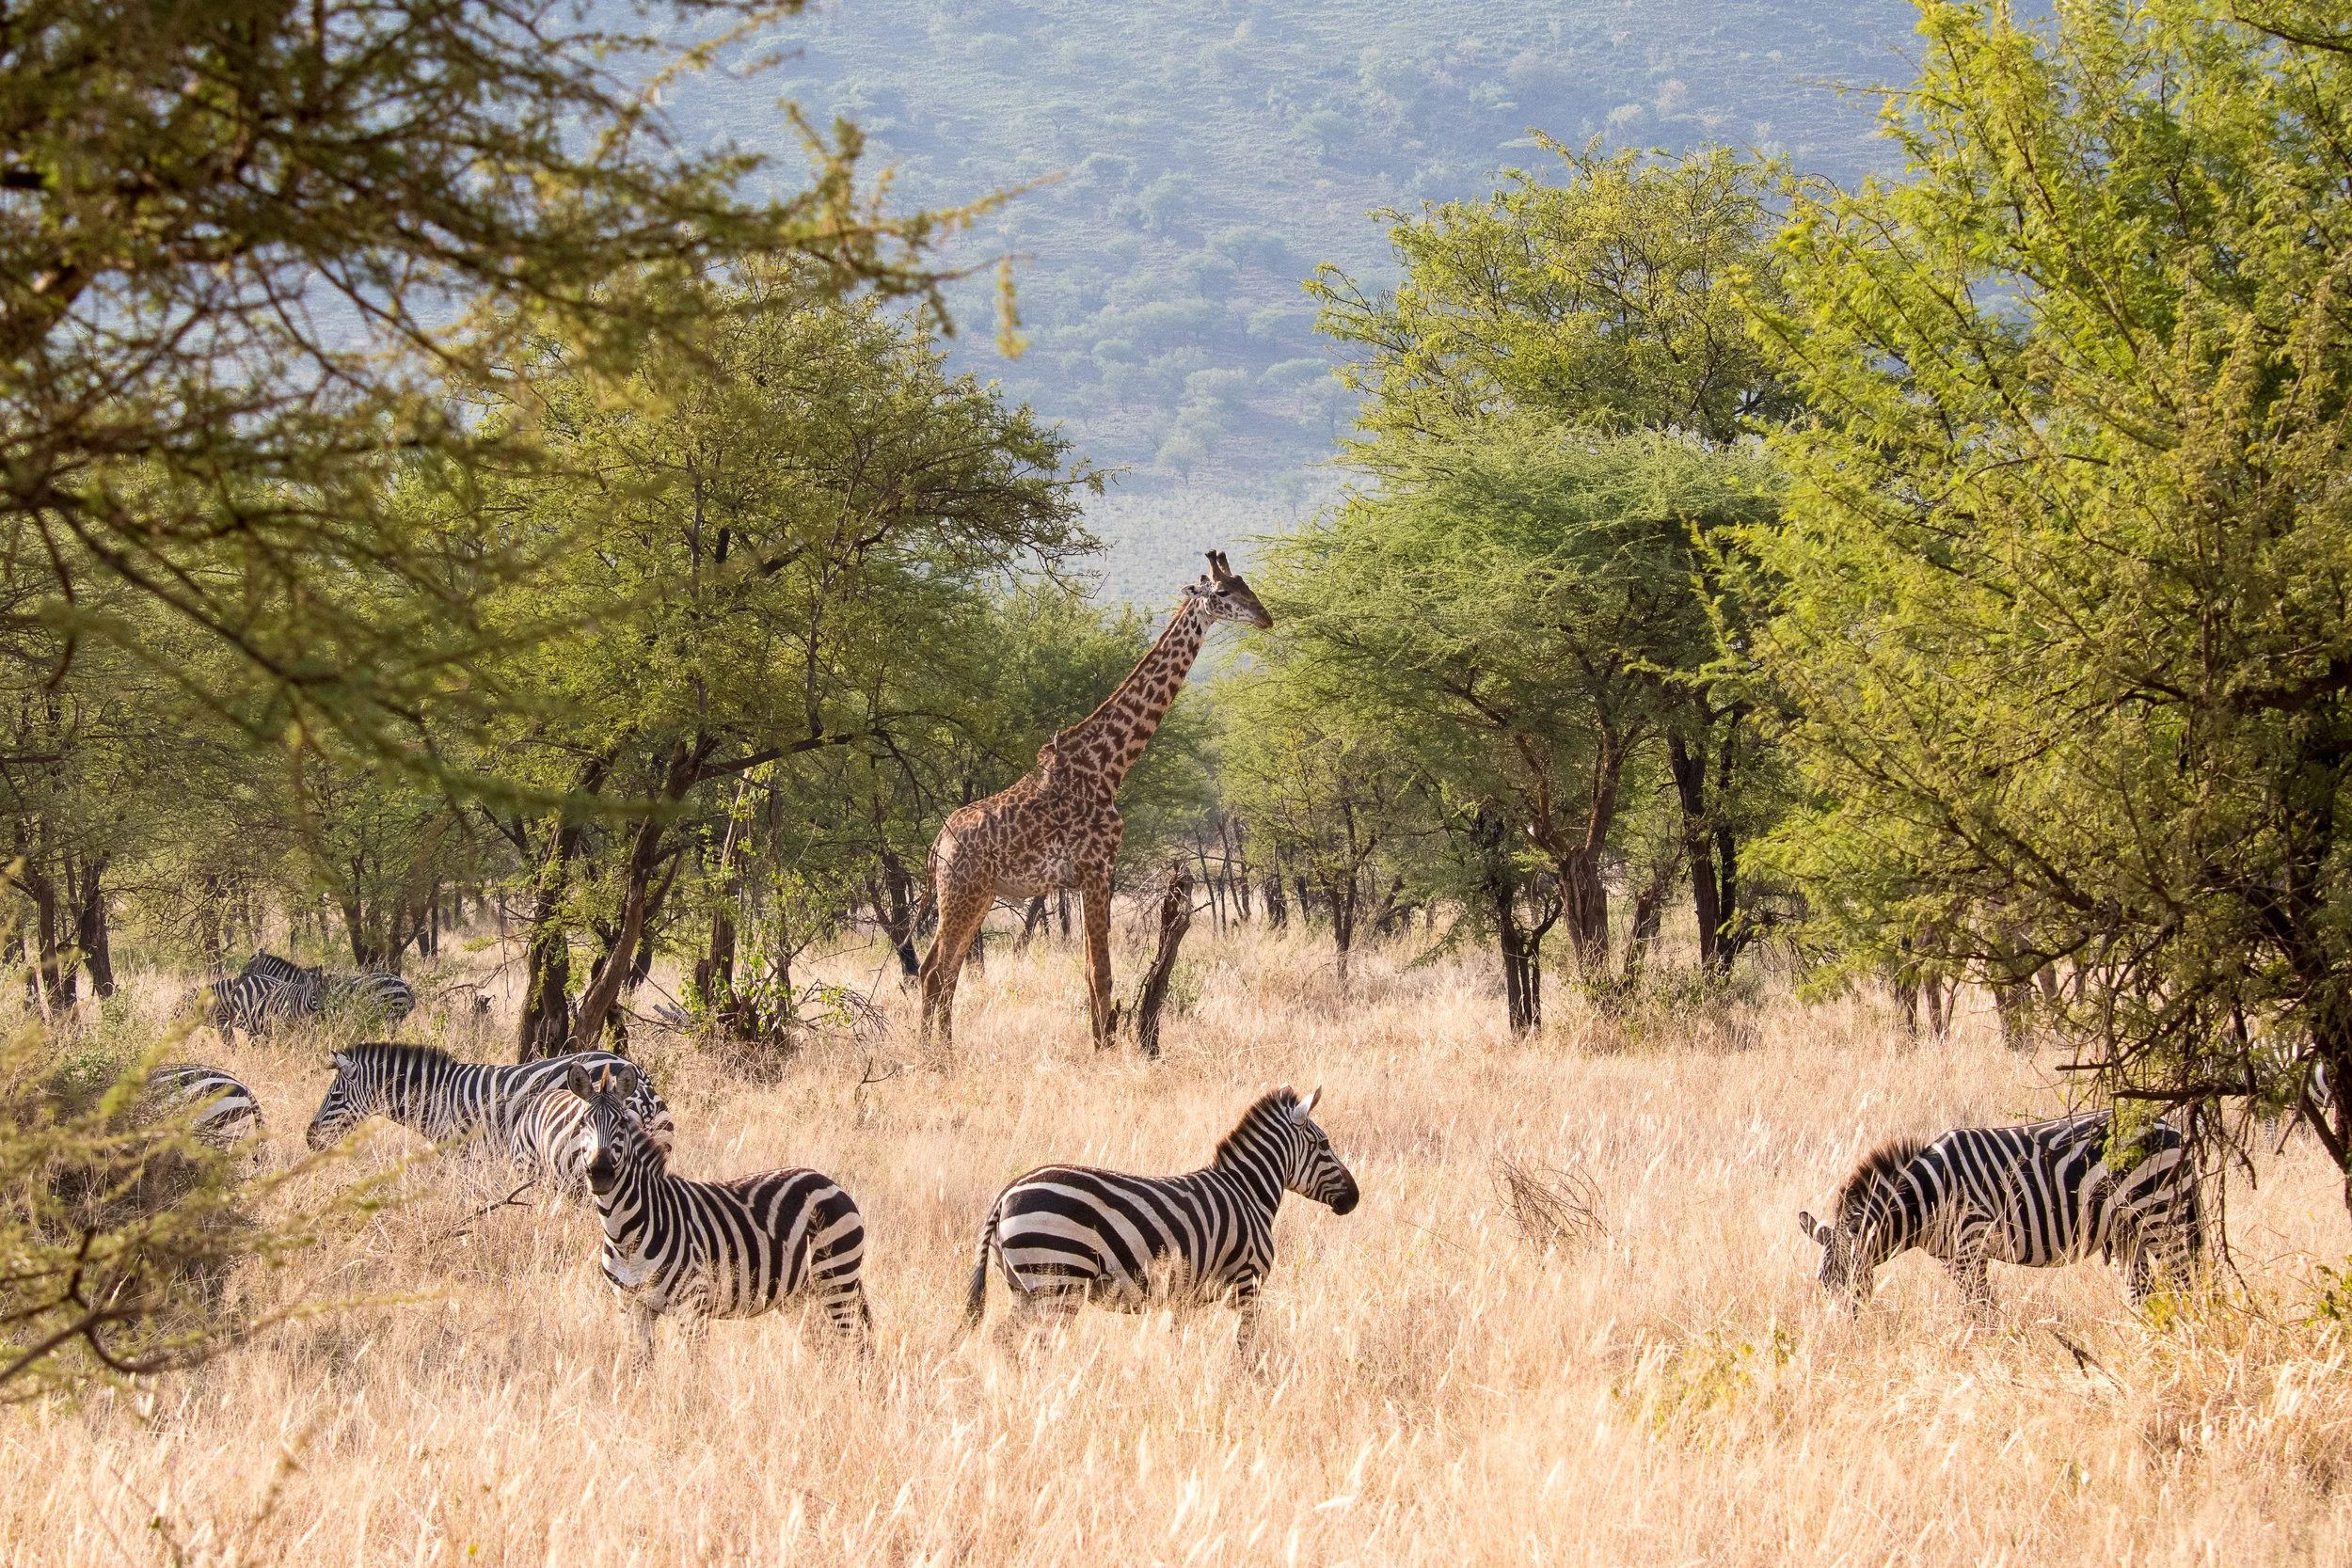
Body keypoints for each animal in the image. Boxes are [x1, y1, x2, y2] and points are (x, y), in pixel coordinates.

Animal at [562, 1061, 871, 1353]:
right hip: (803, 1293)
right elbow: (640, 1365)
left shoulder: (691, 1306)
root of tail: (826, 1180)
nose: (600, 1172)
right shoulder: (631, 1307)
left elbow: (692, 1369)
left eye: (623, 1124)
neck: (624, 1234)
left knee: (857, 1344)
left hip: (837, 1278)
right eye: (581, 1124)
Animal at [919, 551, 1272, 1048]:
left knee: (940, 971)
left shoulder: (1090, 874)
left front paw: (1099, 1043)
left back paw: (939, 1050)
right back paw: (937, 1054)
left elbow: (1089, 973)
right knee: (935, 973)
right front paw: (1105, 1051)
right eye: (1223, 592)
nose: (1265, 617)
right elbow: (1100, 974)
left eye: (1245, 584)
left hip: (976, 896)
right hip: (963, 893)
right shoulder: (1096, 868)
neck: (1110, 765)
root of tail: (937, 847)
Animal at [961, 1084, 1360, 1355]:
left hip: (1024, 1287)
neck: (1248, 1192)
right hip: (1056, 1282)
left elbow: (1179, 1344)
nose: (1354, 1199)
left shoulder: (1185, 1296)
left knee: (1004, 1339)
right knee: (1038, 1346)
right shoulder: (1248, 1284)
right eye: (1325, 1146)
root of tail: (1007, 1193)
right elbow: (1247, 1347)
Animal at [1798, 1110, 2202, 1314]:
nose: (1845, 1332)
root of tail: (2171, 1126)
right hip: (2126, 1231)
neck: (1927, 1197)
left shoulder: (1971, 1245)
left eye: (1851, 1279)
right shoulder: (1954, 1257)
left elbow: (1979, 1309)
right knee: (2143, 1291)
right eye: (1824, 1285)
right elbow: (1981, 1307)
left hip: (2159, 1213)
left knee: (2185, 1282)